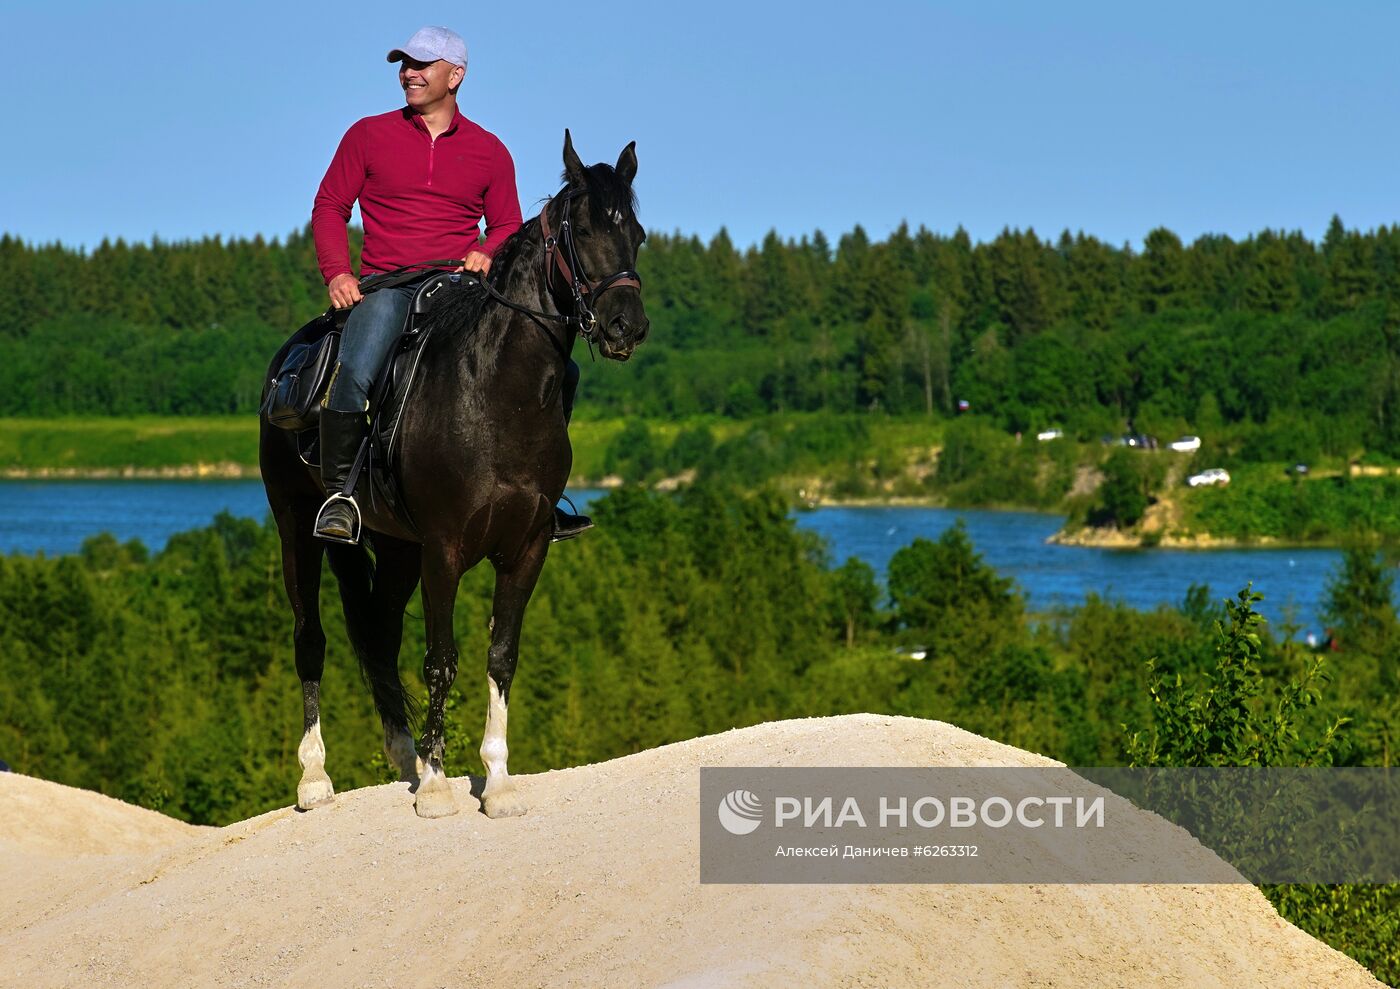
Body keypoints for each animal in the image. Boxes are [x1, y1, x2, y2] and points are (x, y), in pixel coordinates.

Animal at [259, 133, 649, 818]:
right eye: (581, 230)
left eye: (639, 234)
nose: (627, 324)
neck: (497, 395)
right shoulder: (444, 550)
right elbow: (441, 659)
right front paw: (439, 786)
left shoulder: (526, 549)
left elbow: (502, 656)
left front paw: (496, 781)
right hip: (297, 529)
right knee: (312, 639)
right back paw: (315, 779)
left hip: (394, 547)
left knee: (378, 636)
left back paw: (402, 752)